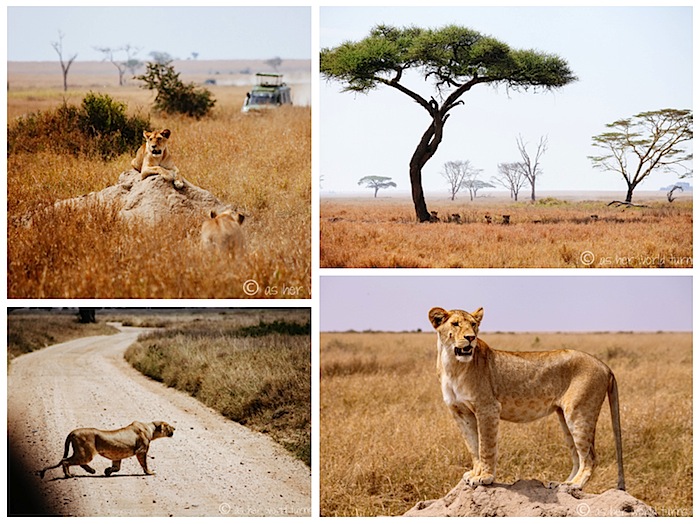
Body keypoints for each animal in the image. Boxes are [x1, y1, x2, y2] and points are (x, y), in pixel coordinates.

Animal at [38, 421, 175, 479]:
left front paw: (107, 471)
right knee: (65, 461)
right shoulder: (141, 451)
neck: (150, 428)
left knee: (69, 461)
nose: (175, 428)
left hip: (83, 453)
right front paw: (150, 472)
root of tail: (73, 432)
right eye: (168, 426)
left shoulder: (118, 455)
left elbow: (117, 467)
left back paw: (91, 470)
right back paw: (69, 475)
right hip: (86, 453)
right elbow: (144, 464)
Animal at [428, 307, 625, 491]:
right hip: (564, 417)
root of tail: (604, 366)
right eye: (455, 324)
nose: (470, 337)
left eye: (473, 324)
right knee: (577, 455)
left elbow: (486, 446)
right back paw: (561, 483)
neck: (452, 365)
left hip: (579, 413)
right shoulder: (461, 412)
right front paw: (474, 473)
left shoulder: (488, 408)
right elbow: (473, 446)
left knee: (590, 457)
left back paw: (574, 485)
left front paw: (485, 477)